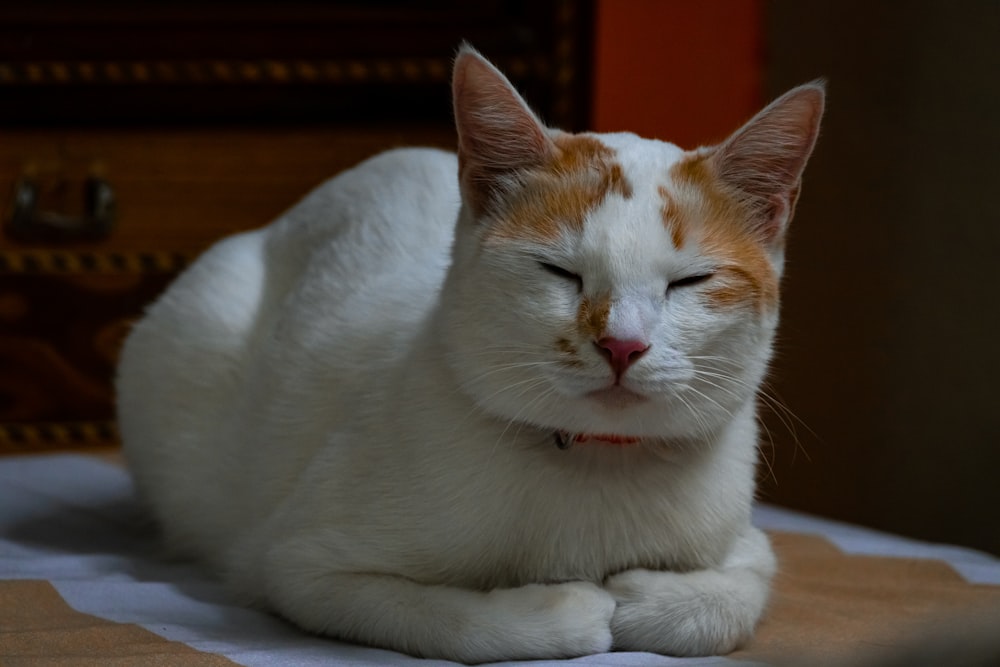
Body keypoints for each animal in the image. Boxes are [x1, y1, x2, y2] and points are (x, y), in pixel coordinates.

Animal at [115, 45, 820, 664]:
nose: (622, 344)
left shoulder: (749, 545)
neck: (594, 465)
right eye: (560, 272)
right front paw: (564, 608)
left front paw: (644, 597)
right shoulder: (300, 565)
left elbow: (734, 601)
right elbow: (444, 620)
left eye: (689, 282)